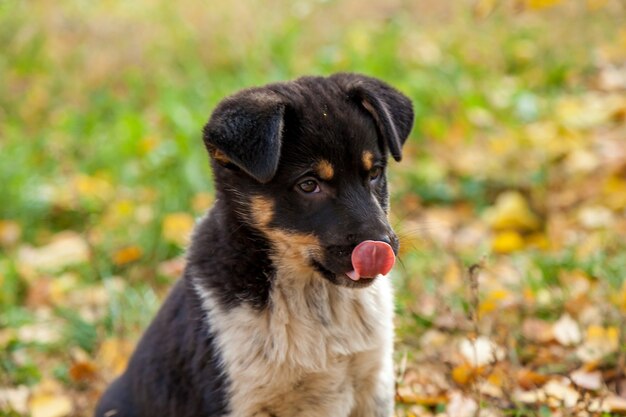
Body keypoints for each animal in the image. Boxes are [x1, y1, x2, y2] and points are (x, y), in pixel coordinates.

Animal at [95, 73, 412, 414]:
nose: (385, 246)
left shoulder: (374, 382)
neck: (314, 297)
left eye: (375, 173)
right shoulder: (240, 400)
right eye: (308, 185)